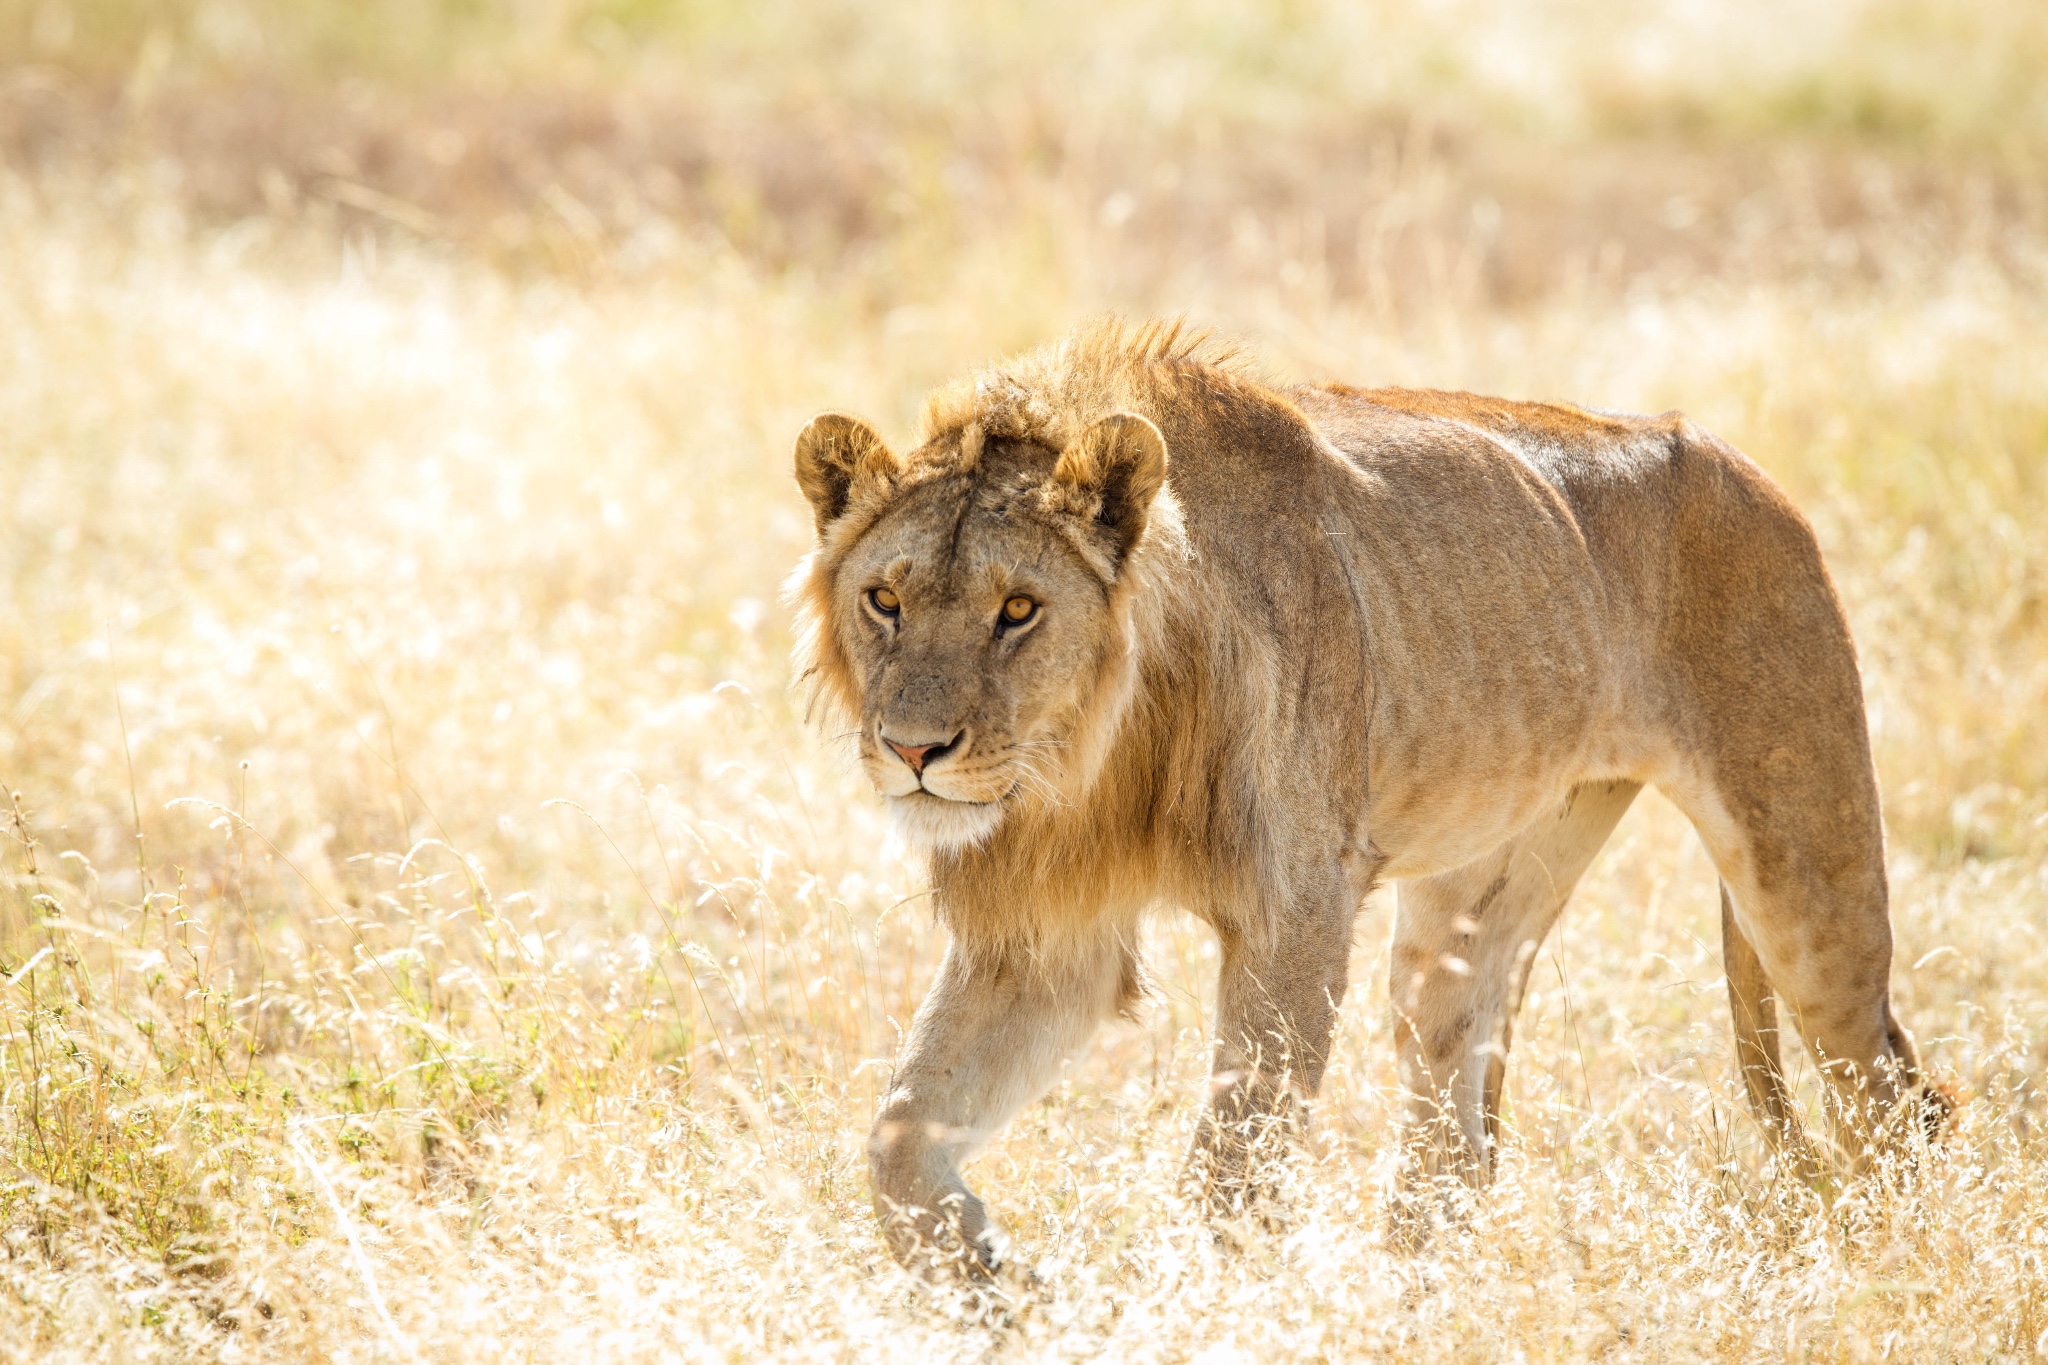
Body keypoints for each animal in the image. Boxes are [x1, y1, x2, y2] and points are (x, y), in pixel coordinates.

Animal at [786, 321, 1949, 1285]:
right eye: (883, 600)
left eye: (1018, 610)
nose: (914, 749)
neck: (1098, 755)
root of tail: (1749, 470)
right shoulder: (1042, 940)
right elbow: (898, 1137)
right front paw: (992, 1283)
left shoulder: (1295, 913)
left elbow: (1233, 1169)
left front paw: (1192, 1310)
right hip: (1486, 886)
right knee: (1456, 1135)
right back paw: (1410, 1294)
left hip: (1803, 877)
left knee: (1895, 1099)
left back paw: (1899, 1268)